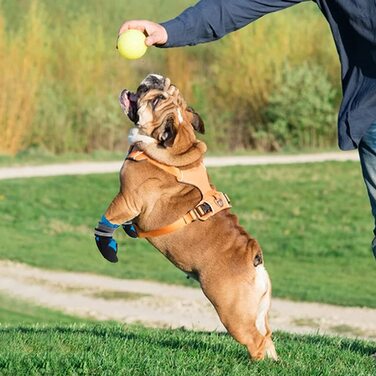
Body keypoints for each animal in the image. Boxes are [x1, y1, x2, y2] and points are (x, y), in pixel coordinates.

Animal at [94, 73, 276, 362]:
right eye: (165, 88)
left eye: (156, 100)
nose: (155, 77)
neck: (175, 150)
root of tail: (253, 256)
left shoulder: (127, 198)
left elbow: (108, 217)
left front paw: (107, 246)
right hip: (255, 310)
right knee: (267, 337)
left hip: (232, 311)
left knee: (255, 341)